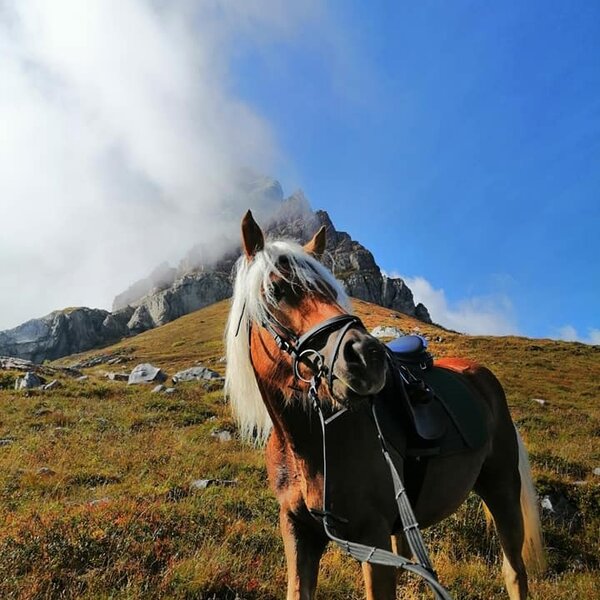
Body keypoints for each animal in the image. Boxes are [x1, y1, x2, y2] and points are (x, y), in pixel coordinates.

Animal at [224, 211, 544, 600]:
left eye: (332, 289)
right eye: (276, 291)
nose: (367, 356)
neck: (309, 445)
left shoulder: (373, 541)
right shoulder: (298, 531)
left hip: (502, 489)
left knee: (514, 571)